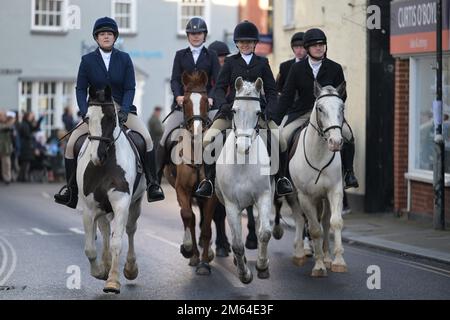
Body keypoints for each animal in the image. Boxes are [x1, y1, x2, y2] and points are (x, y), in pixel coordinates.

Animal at [76, 86, 146, 294]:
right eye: (87, 118)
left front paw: (113, 281)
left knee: (130, 230)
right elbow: (90, 248)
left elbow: (117, 242)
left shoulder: (122, 204)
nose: (97, 156)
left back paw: (130, 268)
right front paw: (100, 272)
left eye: (110, 117)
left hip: (135, 203)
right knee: (105, 229)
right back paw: (106, 264)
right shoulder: (89, 209)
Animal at [163, 70, 216, 276]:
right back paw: (193, 255)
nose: (197, 131)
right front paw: (187, 249)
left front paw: (205, 262)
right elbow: (187, 216)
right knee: (191, 218)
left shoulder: (210, 194)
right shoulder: (181, 189)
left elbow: (207, 226)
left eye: (205, 101)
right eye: (185, 101)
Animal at [214, 76, 274, 284]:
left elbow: (265, 233)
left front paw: (262, 266)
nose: (243, 147)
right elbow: (238, 244)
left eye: (258, 112)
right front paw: (244, 274)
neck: (243, 162)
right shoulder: (231, 204)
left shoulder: (264, 196)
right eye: (234, 110)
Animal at [288, 81, 348, 276]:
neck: (319, 154)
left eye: (342, 107)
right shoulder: (305, 196)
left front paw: (338, 261)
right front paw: (319, 266)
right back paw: (300, 253)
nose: (336, 142)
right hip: (293, 195)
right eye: (320, 108)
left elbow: (335, 223)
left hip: (323, 198)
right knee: (300, 219)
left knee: (326, 222)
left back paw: (327, 256)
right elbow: (314, 229)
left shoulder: (335, 191)